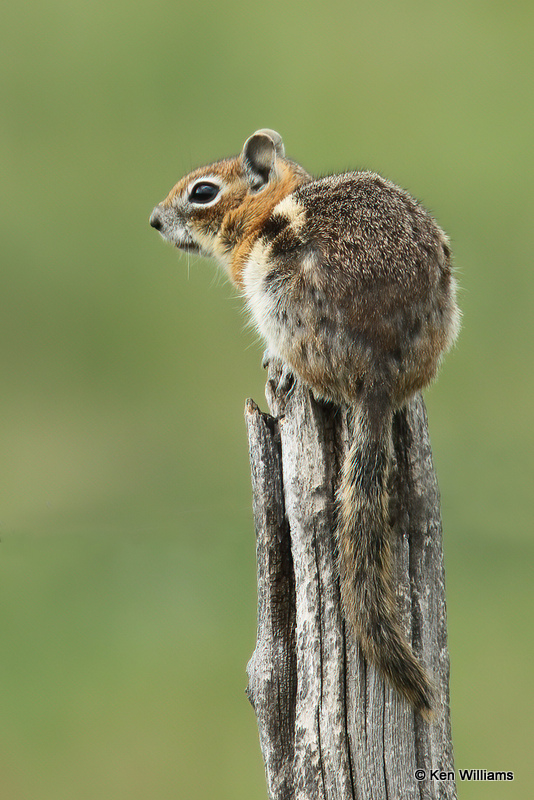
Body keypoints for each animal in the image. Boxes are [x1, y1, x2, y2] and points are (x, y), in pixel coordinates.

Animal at [150, 128, 460, 716]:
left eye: (203, 192)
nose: (154, 220)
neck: (265, 207)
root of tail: (379, 377)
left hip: (280, 305)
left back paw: (289, 370)